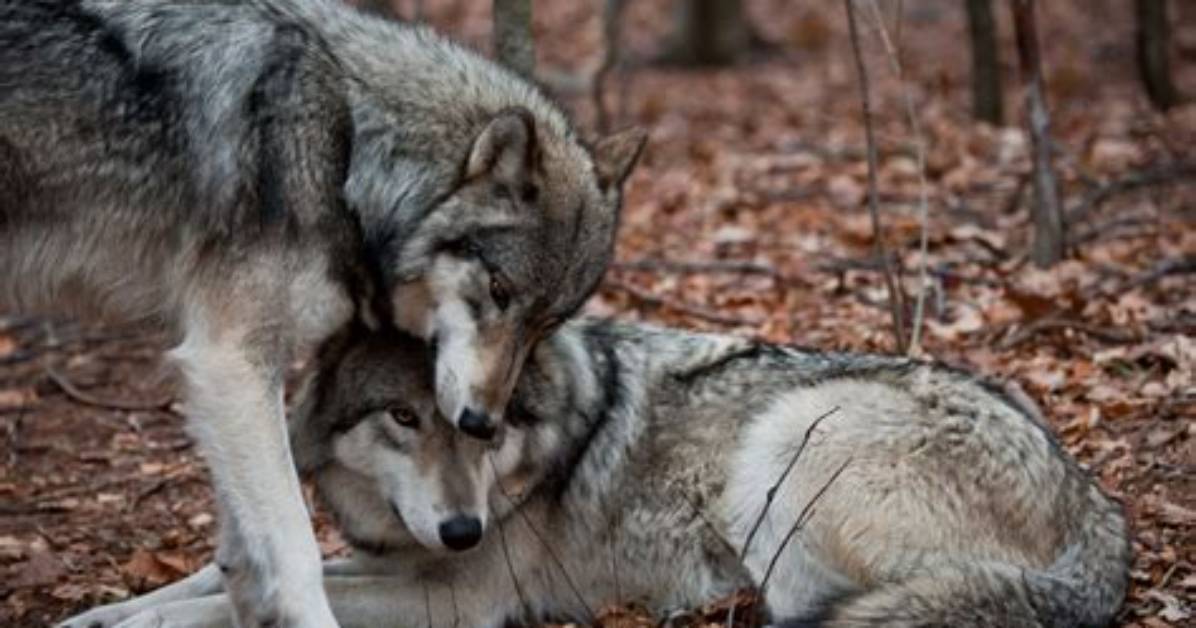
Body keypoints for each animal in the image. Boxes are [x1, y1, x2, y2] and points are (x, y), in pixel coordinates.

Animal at [0, 0, 645, 624]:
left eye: (547, 323)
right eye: (498, 288)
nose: (482, 422)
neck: (345, 147)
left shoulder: (236, 376)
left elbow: (241, 548)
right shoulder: (229, 358)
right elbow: (296, 550)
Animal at [62, 319, 1132, 628]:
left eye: (482, 423)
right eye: (405, 418)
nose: (464, 530)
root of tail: (1099, 512)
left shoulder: (457, 598)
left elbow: (214, 606)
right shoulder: (392, 558)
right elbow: (207, 579)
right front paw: (97, 614)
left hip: (785, 443)